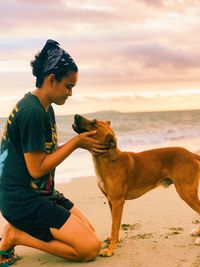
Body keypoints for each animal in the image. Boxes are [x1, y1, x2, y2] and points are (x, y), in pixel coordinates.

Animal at [72, 114, 200, 258]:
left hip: (186, 192)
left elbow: (115, 226)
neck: (109, 160)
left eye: (94, 124)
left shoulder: (118, 202)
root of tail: (191, 154)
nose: (76, 115)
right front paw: (113, 240)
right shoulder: (111, 201)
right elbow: (114, 224)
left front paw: (110, 249)